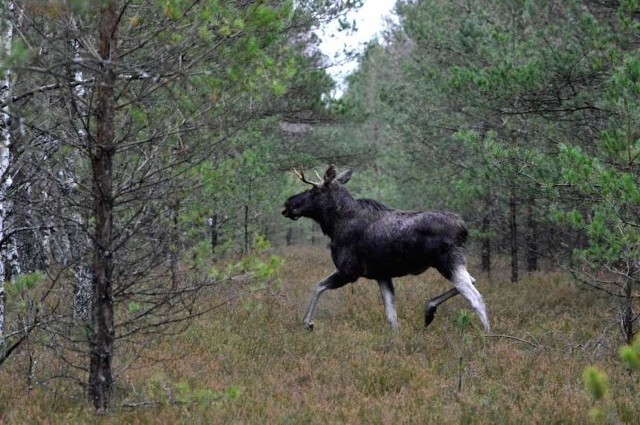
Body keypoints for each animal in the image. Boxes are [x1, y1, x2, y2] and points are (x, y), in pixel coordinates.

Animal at [282, 164, 490, 332]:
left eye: (313, 191)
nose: (287, 204)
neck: (334, 225)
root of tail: (463, 229)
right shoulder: (382, 275)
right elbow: (392, 317)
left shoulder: (349, 271)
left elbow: (318, 286)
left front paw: (308, 323)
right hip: (453, 262)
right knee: (472, 281)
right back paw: (429, 309)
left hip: (447, 261)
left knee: (476, 297)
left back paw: (487, 338)